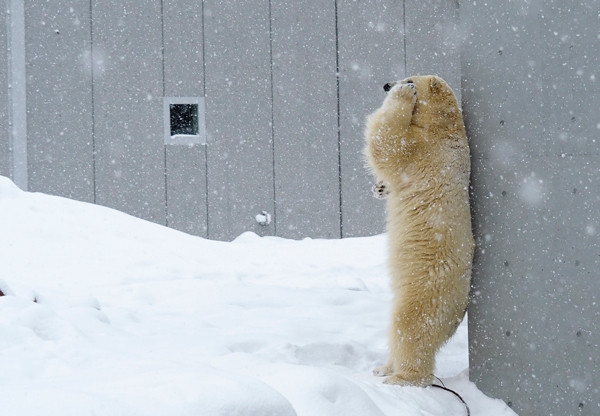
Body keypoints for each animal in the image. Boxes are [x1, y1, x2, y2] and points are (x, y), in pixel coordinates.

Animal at [364, 75, 476, 386]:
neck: (444, 127)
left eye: (411, 77)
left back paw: (401, 378)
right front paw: (380, 188)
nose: (387, 85)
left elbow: (390, 144)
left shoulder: (424, 150)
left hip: (429, 288)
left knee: (410, 326)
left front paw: (403, 95)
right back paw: (383, 368)